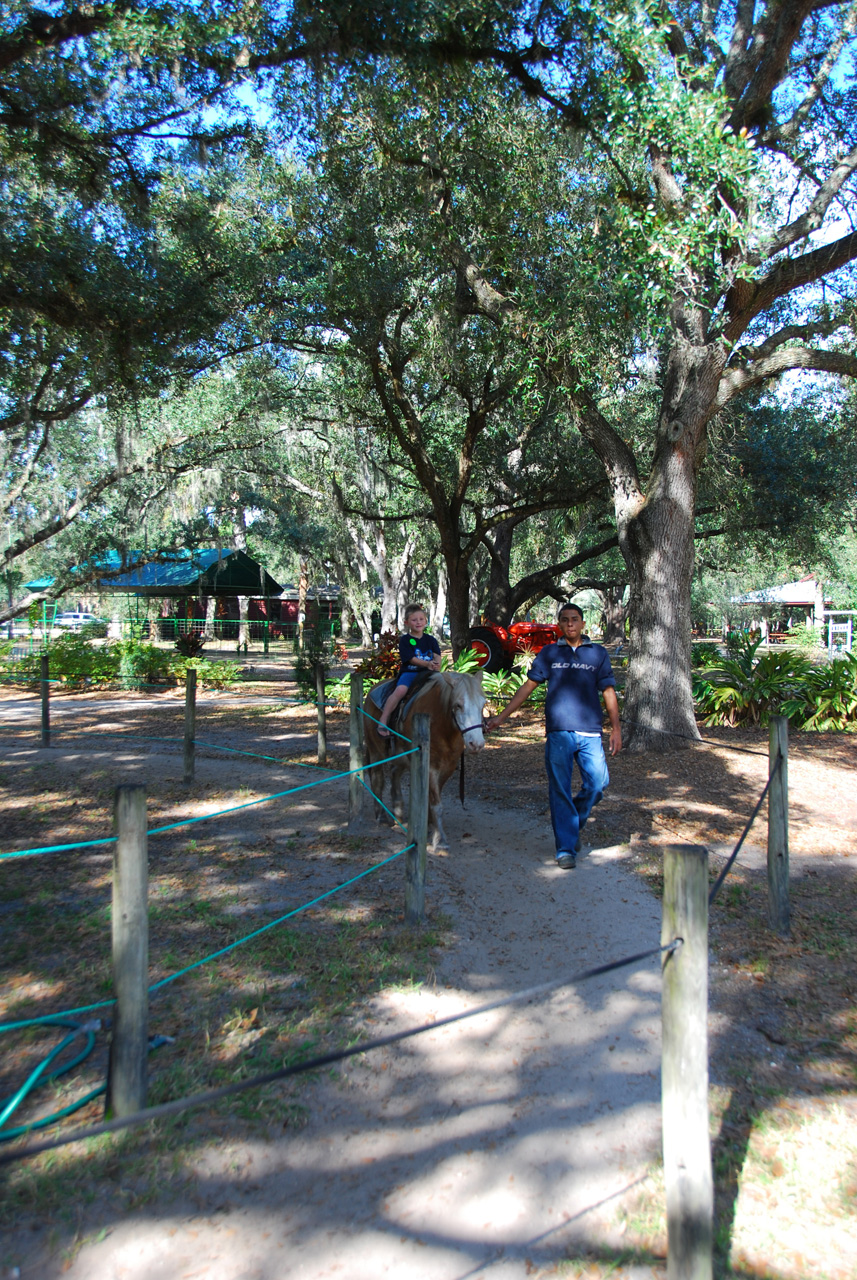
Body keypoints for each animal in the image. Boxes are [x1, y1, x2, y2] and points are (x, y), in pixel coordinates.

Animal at [363, 670, 486, 849]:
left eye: (483, 705)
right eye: (458, 705)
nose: (476, 744)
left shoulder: (447, 768)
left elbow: (430, 801)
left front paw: (428, 827)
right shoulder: (430, 766)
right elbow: (436, 804)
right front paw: (440, 839)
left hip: (402, 758)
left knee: (394, 775)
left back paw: (398, 815)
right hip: (374, 751)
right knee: (377, 779)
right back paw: (381, 816)